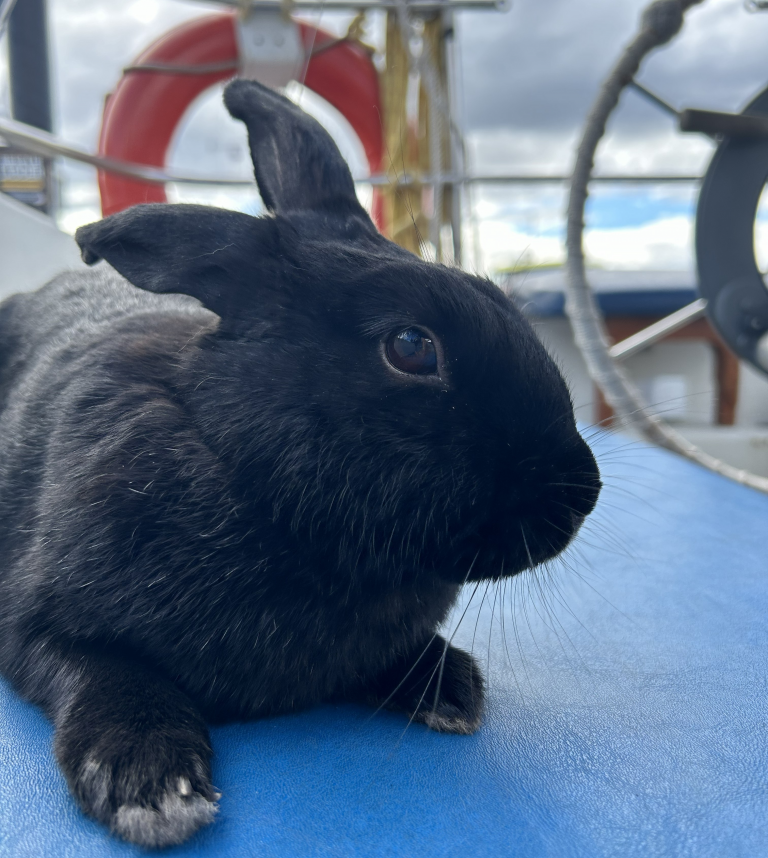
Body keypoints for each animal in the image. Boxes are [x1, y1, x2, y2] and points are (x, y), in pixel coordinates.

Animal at [0, 78, 601, 849]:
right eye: (412, 347)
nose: (582, 492)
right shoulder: (32, 625)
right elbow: (102, 673)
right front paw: (151, 783)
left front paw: (448, 687)